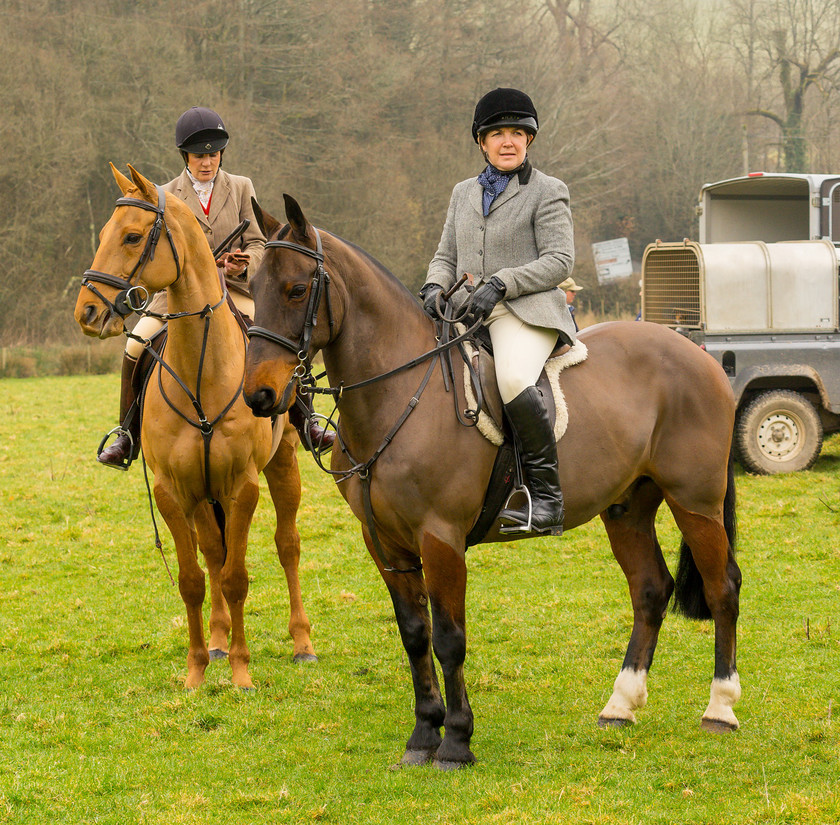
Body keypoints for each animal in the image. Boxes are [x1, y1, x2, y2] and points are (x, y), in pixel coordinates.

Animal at [71, 167, 316, 688]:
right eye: (103, 235)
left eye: (132, 236)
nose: (86, 313)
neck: (203, 375)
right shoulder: (174, 489)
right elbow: (193, 579)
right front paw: (197, 671)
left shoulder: (242, 486)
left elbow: (238, 577)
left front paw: (242, 674)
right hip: (204, 494)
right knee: (213, 552)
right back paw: (219, 642)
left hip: (281, 463)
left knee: (286, 546)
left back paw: (301, 644)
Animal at [240, 193, 740, 768]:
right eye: (251, 286)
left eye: (297, 289)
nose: (259, 395)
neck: (400, 393)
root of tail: (697, 353)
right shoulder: (384, 542)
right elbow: (414, 635)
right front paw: (422, 736)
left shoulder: (440, 538)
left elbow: (449, 638)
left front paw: (456, 741)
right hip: (627, 507)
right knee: (651, 589)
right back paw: (620, 705)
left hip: (695, 501)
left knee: (722, 587)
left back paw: (720, 709)